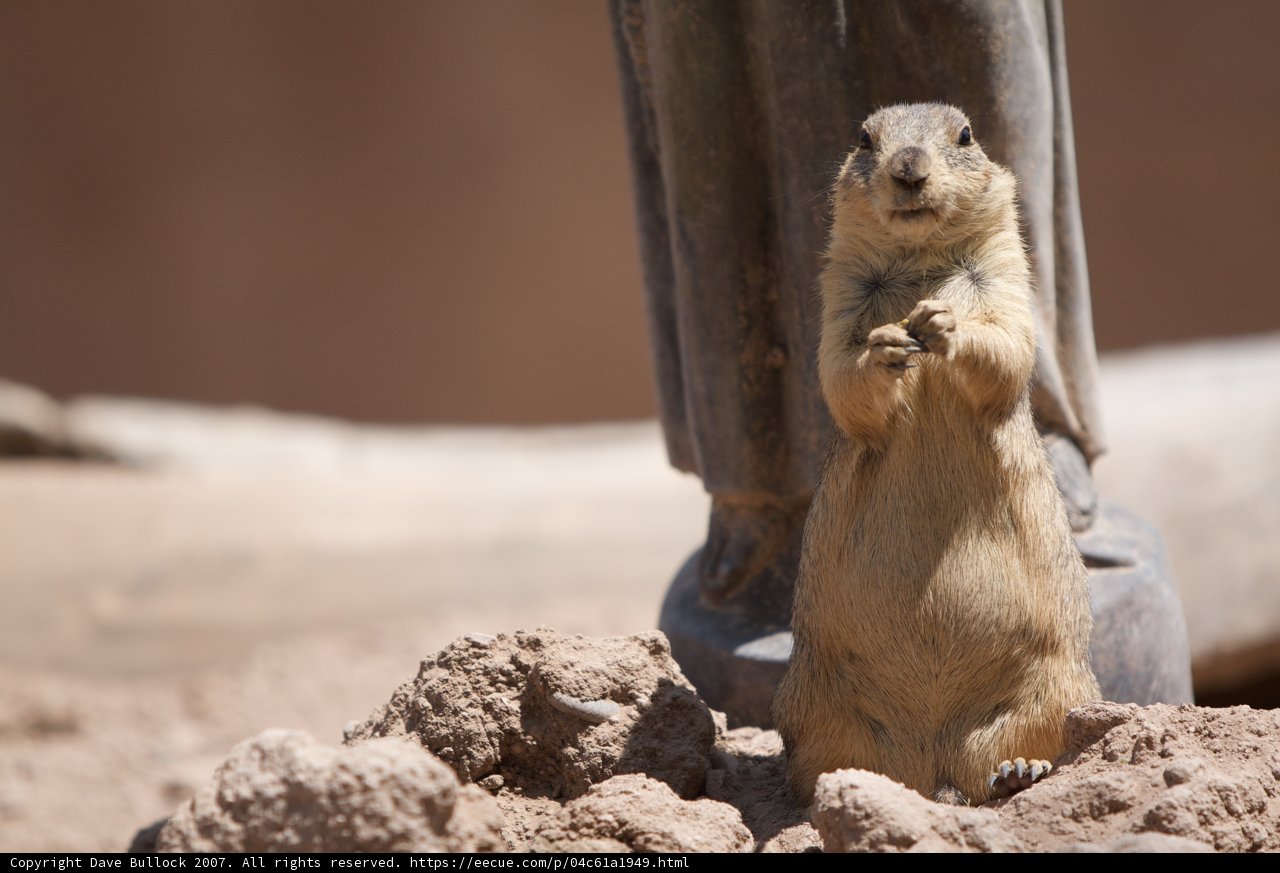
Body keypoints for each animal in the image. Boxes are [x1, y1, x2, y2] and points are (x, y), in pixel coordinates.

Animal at [771, 103, 1100, 805]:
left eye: (966, 135)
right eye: (864, 138)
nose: (907, 169)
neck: (921, 262)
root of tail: (935, 764)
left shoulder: (1006, 277)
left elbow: (1006, 346)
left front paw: (946, 326)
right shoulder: (839, 295)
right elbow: (840, 375)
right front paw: (885, 348)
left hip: (1059, 686)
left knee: (1033, 745)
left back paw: (1017, 773)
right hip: (813, 703)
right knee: (822, 766)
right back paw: (850, 786)